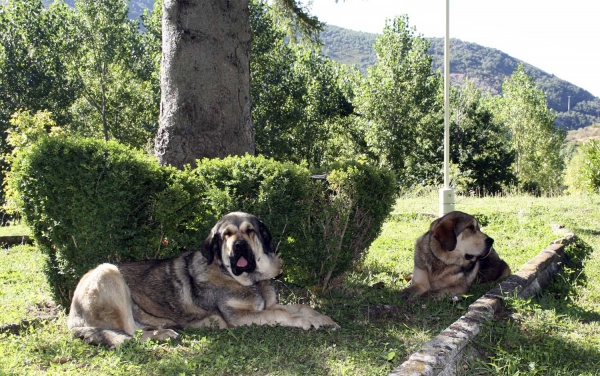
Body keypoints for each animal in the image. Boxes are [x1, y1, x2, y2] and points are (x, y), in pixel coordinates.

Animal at [67, 212, 338, 346]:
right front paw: (307, 322)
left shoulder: (267, 304)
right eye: (226, 235)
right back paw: (163, 334)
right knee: (129, 333)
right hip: (107, 271)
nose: (239, 246)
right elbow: (282, 314)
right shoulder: (238, 318)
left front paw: (324, 319)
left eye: (250, 231)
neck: (249, 280)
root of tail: (73, 317)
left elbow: (301, 306)